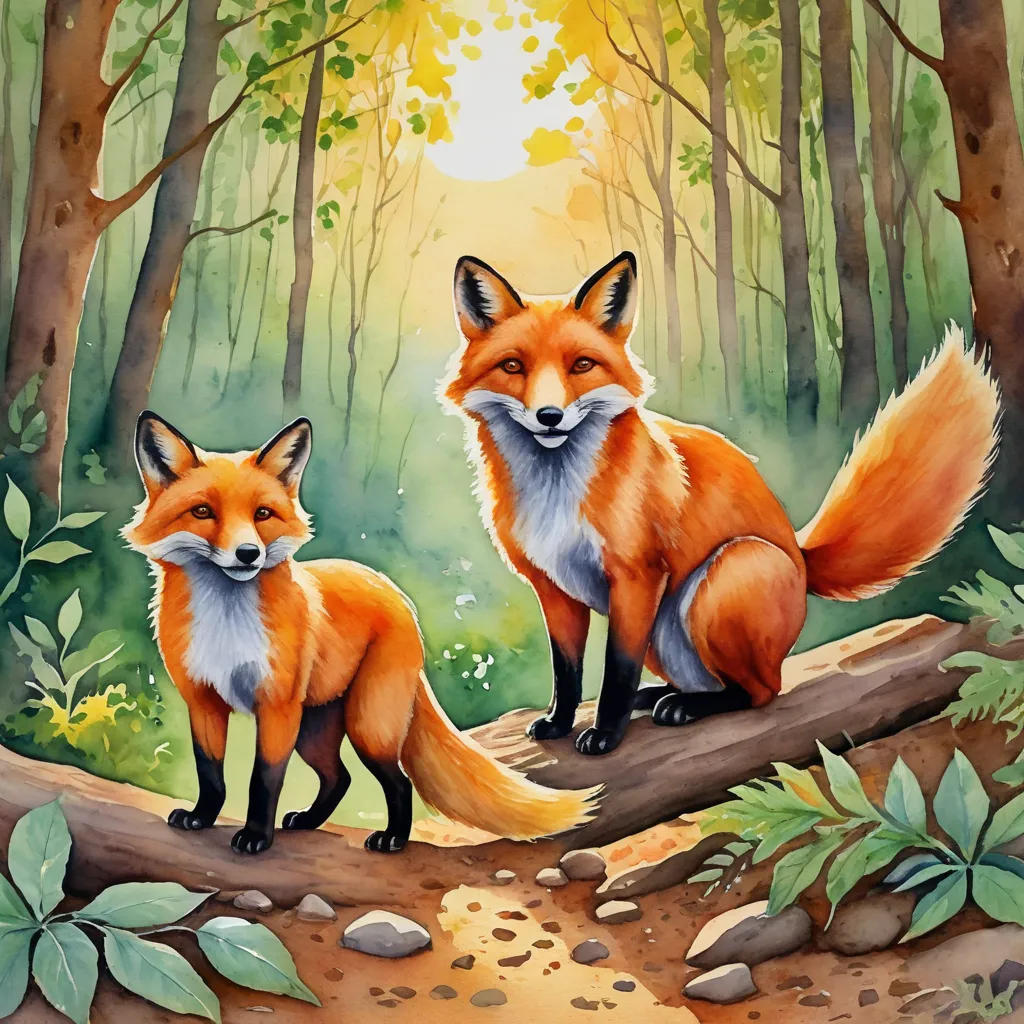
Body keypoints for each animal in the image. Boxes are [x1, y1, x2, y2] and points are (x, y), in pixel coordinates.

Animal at [123, 412, 598, 854]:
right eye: (203, 511)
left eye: (262, 514)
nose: (247, 554)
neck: (226, 625)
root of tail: (394, 593)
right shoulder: (203, 701)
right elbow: (211, 774)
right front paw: (201, 817)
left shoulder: (277, 708)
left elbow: (263, 780)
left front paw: (256, 836)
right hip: (315, 731)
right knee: (340, 777)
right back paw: (309, 821)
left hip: (366, 726)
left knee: (398, 782)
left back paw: (393, 838)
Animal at [442, 251, 1000, 757]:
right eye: (513, 366)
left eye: (581, 365)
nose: (550, 416)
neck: (556, 493)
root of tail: (801, 557)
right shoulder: (553, 587)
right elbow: (567, 671)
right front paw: (559, 723)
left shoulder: (637, 576)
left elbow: (617, 670)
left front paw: (604, 735)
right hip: (666, 631)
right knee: (712, 681)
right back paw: (663, 696)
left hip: (724, 575)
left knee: (761, 692)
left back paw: (685, 707)